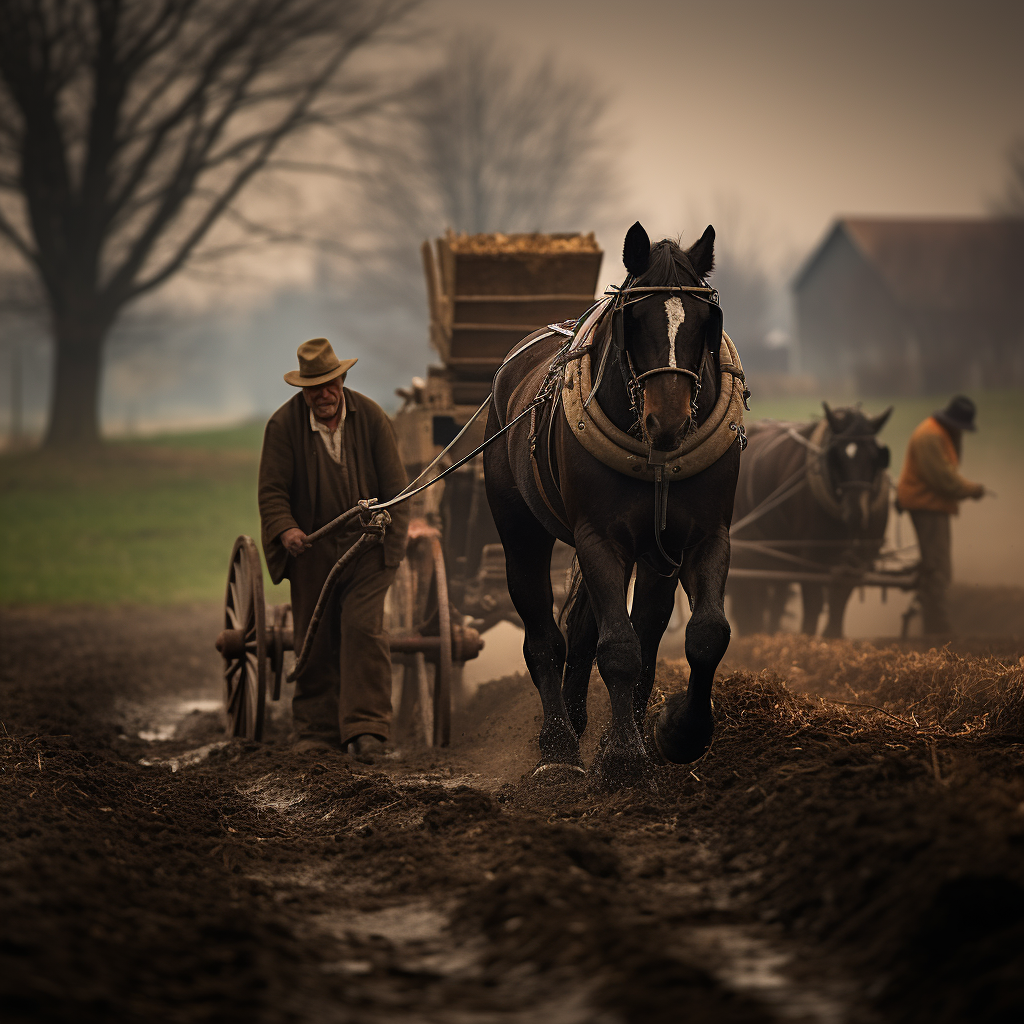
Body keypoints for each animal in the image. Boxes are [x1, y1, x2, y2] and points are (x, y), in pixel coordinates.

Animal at [733, 403, 892, 634]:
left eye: (874, 457)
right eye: (835, 457)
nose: (856, 513)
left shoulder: (860, 559)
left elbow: (838, 604)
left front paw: (832, 635)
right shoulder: (809, 557)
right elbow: (813, 605)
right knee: (752, 591)